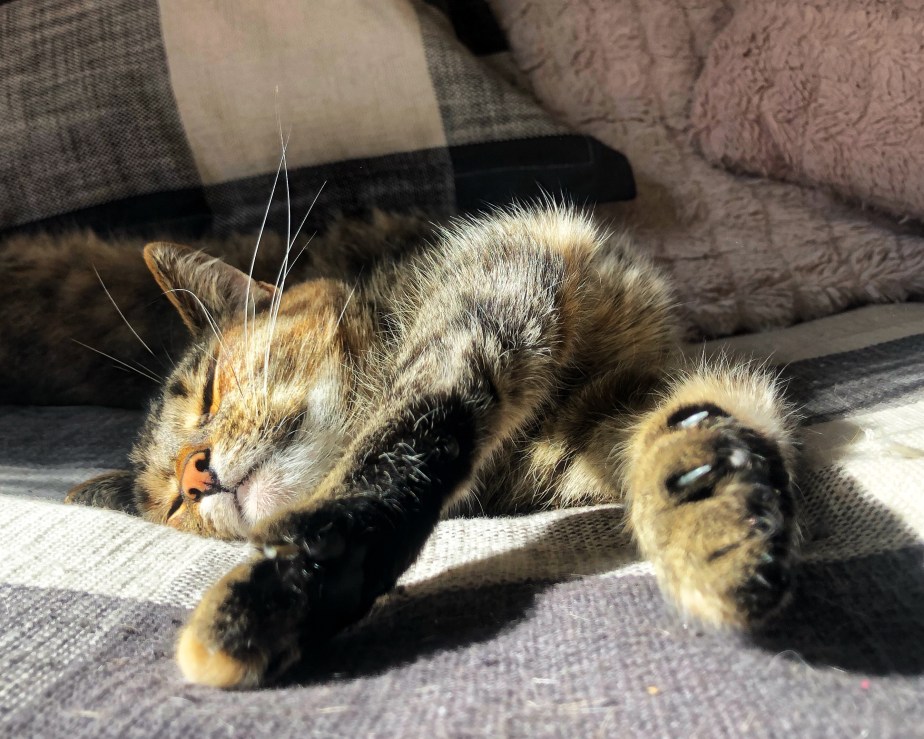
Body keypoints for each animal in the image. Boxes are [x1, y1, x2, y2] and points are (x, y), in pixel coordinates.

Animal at [59, 204, 798, 689]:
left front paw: (292, 580)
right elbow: (694, 422)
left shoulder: (495, 291)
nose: (194, 475)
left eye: (210, 391)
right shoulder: (615, 409)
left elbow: (407, 434)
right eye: (168, 507)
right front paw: (712, 514)